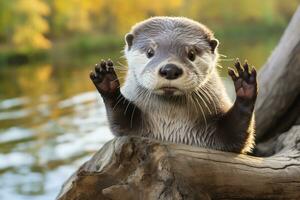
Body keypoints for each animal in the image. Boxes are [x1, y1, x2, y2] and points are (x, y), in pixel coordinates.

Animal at [89, 16, 258, 153]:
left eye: (191, 54)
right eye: (150, 52)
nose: (170, 69)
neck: (172, 120)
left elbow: (236, 136)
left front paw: (245, 85)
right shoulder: (135, 130)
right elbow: (121, 123)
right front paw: (107, 81)